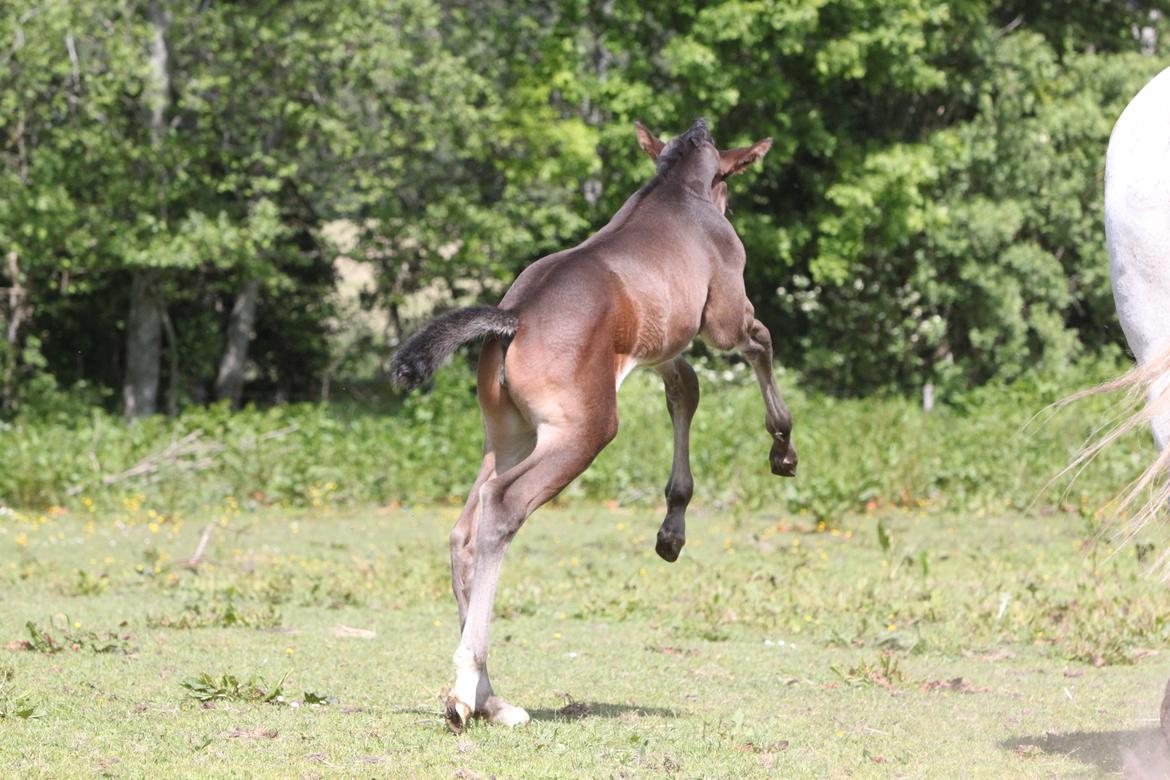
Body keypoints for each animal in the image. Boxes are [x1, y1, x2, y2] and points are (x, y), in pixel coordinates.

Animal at [390, 117, 795, 734]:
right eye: (726, 181)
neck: (676, 191)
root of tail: (514, 318)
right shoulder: (723, 316)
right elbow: (759, 343)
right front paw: (783, 448)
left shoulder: (657, 348)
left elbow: (686, 389)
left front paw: (672, 530)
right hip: (584, 432)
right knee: (501, 508)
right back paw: (465, 689)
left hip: (509, 438)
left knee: (466, 528)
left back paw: (492, 701)